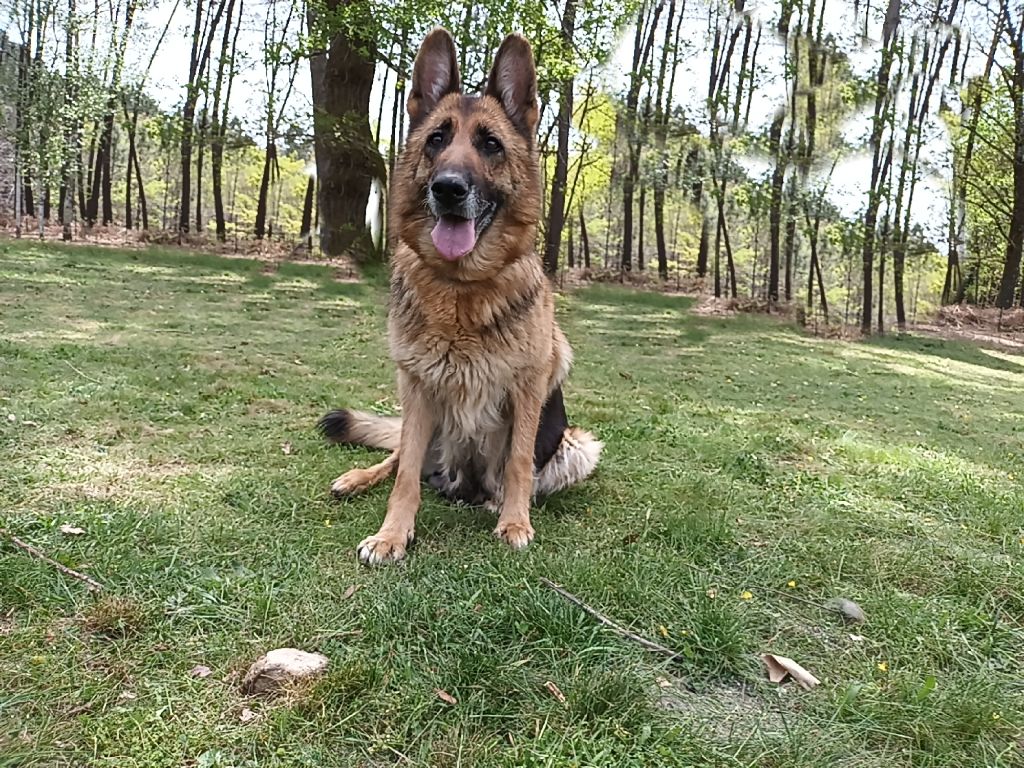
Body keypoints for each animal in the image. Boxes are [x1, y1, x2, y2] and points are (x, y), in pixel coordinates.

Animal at [313, 27, 598, 565]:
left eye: (490, 144)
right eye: (437, 140)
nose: (448, 188)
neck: (462, 288)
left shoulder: (527, 389)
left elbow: (518, 463)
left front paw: (515, 522)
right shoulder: (417, 390)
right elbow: (404, 475)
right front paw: (392, 534)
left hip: (578, 445)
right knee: (397, 456)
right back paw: (357, 477)